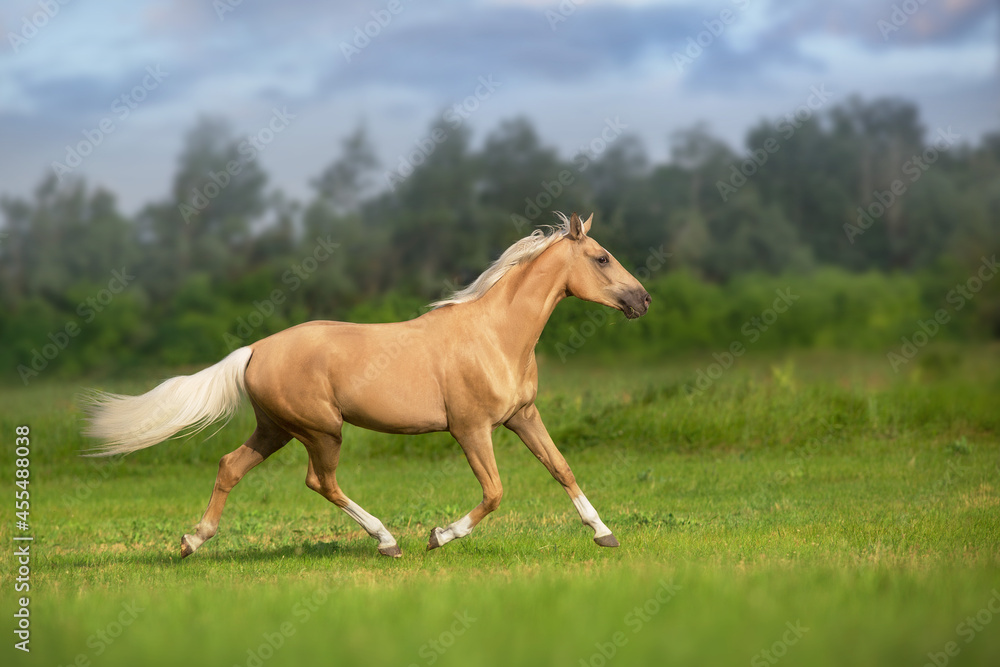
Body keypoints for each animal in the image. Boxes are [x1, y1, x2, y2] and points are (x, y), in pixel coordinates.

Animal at [83, 212, 651, 558]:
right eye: (602, 257)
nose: (642, 300)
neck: (495, 335)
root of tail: (256, 349)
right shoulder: (471, 429)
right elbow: (494, 493)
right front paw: (438, 536)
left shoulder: (522, 417)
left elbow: (561, 468)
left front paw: (604, 534)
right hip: (320, 431)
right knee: (320, 481)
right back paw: (387, 540)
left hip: (276, 429)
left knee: (231, 467)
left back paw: (192, 541)